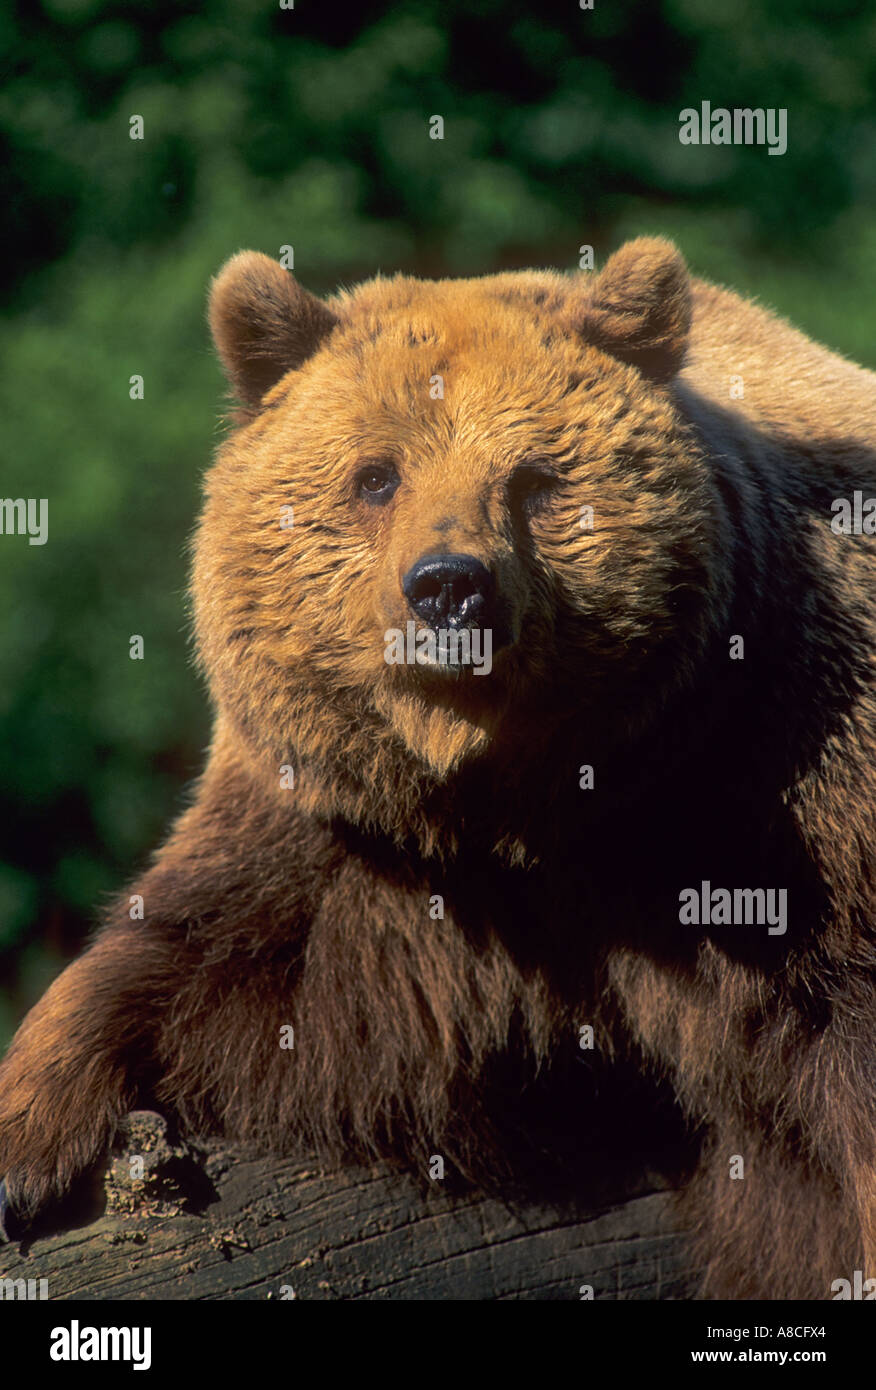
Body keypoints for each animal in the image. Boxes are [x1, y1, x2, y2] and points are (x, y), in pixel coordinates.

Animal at [0, 237, 874, 1300]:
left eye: (535, 478)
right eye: (377, 477)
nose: (449, 587)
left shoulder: (775, 789)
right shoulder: (363, 846)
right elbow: (208, 964)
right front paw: (28, 1140)